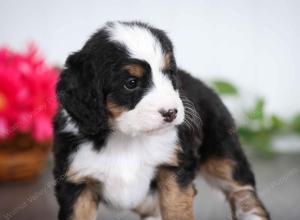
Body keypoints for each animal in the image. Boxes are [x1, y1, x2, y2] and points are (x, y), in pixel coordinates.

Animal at [52, 21, 270, 220]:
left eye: (170, 73)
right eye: (131, 83)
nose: (171, 112)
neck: (126, 139)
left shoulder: (174, 170)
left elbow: (176, 210)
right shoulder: (77, 183)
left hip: (223, 154)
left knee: (243, 192)